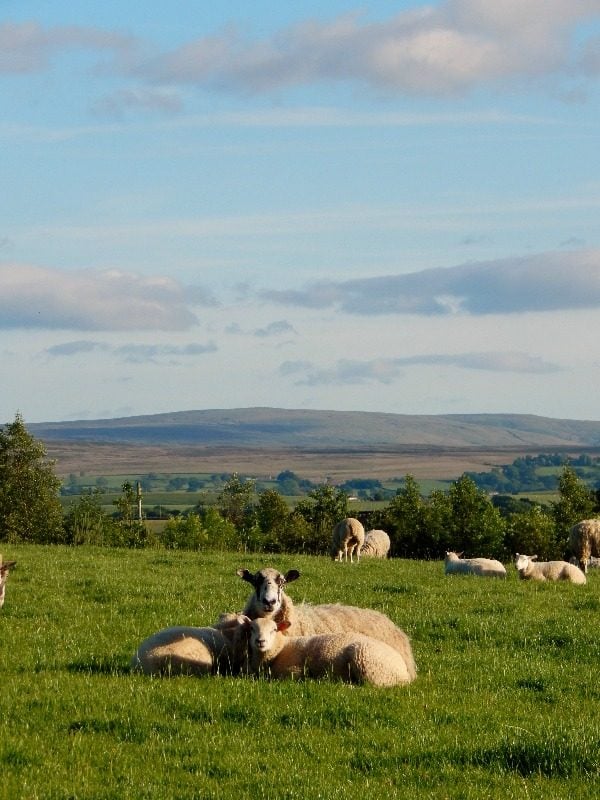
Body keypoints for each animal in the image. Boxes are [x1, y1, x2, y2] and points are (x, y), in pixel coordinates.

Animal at [246, 612, 414, 688]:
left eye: (274, 630)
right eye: (252, 628)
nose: (260, 641)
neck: (281, 648)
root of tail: (405, 673)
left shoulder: (293, 670)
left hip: (369, 665)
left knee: (371, 686)